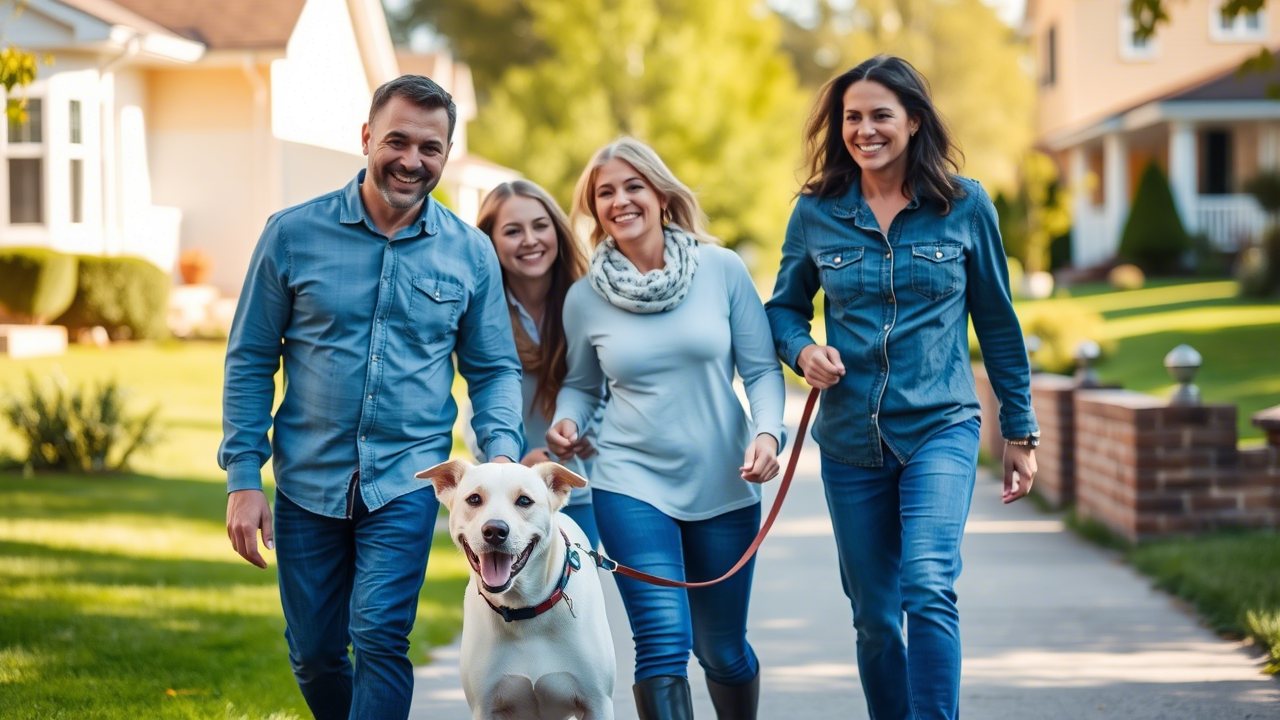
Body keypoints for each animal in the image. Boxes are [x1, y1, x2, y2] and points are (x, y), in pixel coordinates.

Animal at [417, 458, 616, 717]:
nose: (494, 530)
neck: (524, 610)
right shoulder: (485, 708)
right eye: (474, 499)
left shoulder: (597, 704)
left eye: (524, 500)